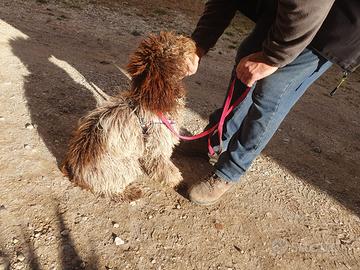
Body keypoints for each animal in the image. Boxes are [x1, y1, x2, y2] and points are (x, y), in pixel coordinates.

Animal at [62, 31, 197, 196]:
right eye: (175, 44)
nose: (192, 42)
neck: (152, 99)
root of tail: (76, 173)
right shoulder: (158, 145)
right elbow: (164, 166)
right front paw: (175, 180)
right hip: (127, 164)